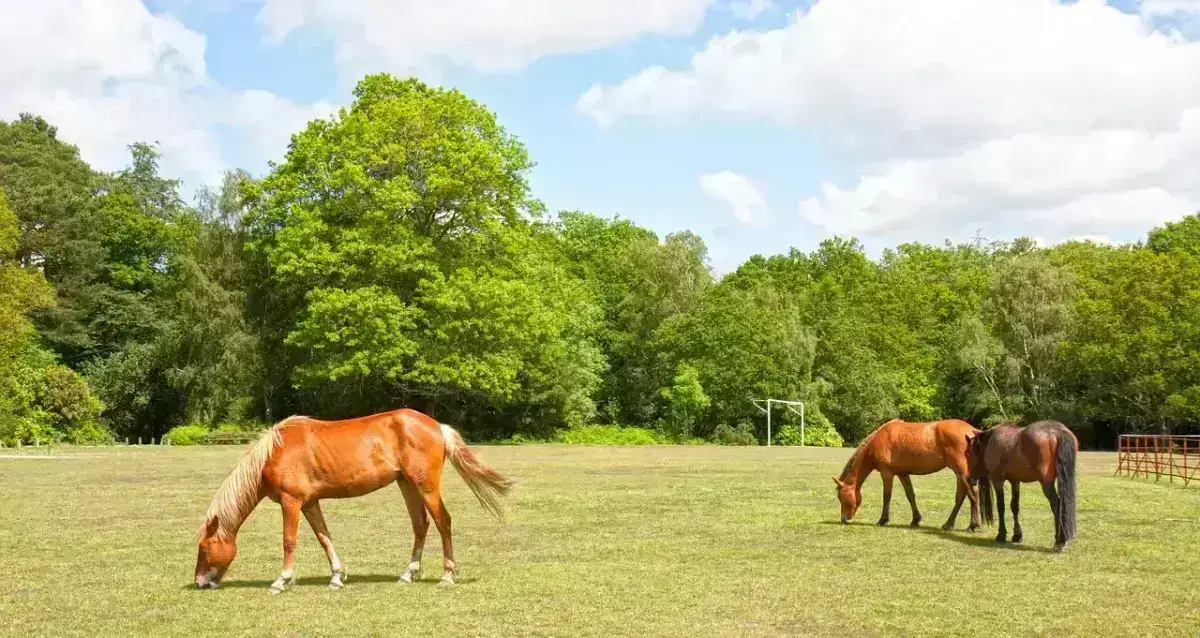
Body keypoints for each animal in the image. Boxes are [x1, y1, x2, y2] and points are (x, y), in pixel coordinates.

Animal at [193, 408, 515, 593]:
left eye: (205, 548)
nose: (200, 583)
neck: (275, 451)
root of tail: (438, 426)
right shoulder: (310, 503)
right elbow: (324, 538)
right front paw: (336, 577)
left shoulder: (291, 502)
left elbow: (289, 541)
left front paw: (281, 581)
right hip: (407, 485)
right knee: (420, 526)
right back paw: (408, 574)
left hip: (425, 486)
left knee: (442, 522)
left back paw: (447, 576)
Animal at [833, 418, 983, 531]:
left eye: (841, 497)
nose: (844, 519)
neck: (879, 439)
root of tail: (972, 431)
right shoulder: (903, 474)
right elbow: (910, 495)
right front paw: (915, 520)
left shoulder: (887, 474)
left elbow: (887, 496)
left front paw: (882, 520)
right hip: (960, 474)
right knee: (961, 497)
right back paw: (949, 524)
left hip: (961, 471)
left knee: (972, 494)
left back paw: (973, 525)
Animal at [965, 420, 1078, 552]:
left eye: (968, 453)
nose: (969, 479)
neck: (991, 442)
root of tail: (1058, 431)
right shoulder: (1015, 481)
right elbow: (1015, 506)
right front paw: (1017, 535)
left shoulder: (997, 480)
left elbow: (1001, 506)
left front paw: (1001, 534)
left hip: (1046, 483)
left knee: (1057, 505)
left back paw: (1060, 541)